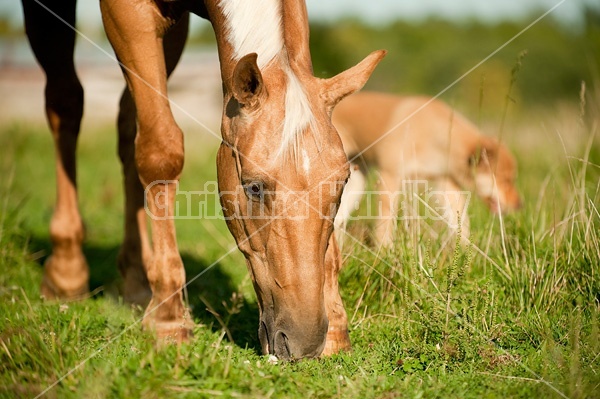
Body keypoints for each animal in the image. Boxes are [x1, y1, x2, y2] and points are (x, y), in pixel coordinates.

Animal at [22, 0, 384, 360]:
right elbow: (160, 151)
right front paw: (168, 320)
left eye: (343, 184)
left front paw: (336, 328)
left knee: (127, 126)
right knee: (66, 103)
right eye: (254, 187)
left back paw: (137, 282)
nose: (303, 342)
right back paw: (67, 271)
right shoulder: (129, 14)